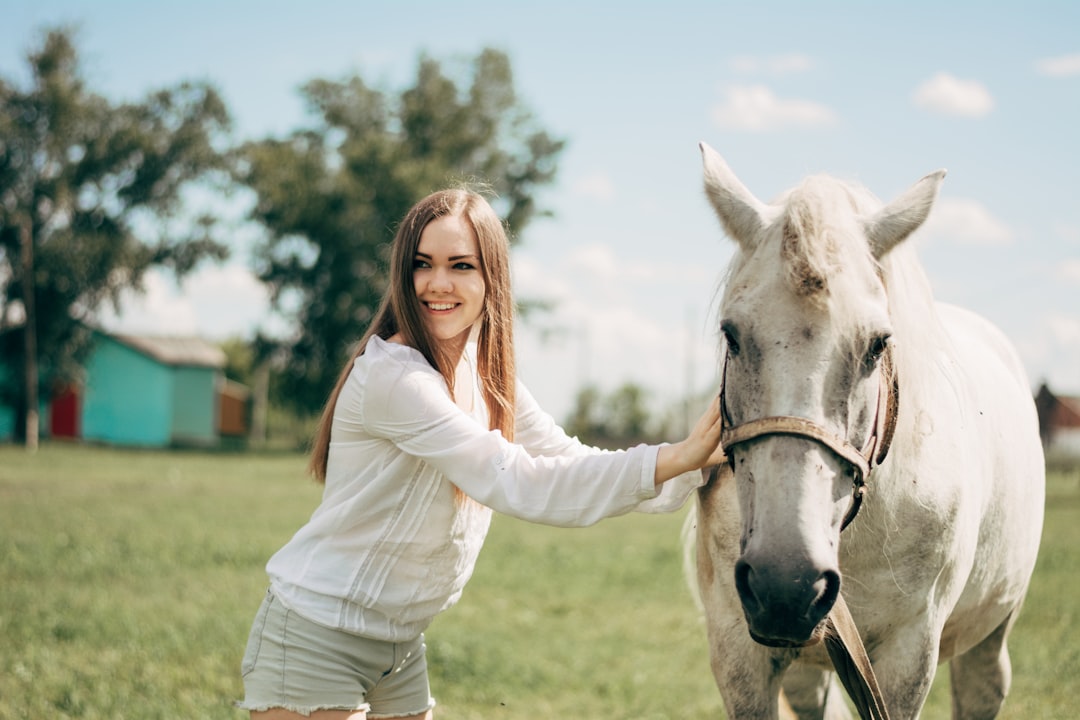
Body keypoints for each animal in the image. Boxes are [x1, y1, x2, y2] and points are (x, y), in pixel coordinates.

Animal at [691, 142, 1045, 720]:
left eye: (878, 345)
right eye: (732, 335)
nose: (786, 585)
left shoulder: (908, 657)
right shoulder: (738, 652)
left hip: (992, 635)